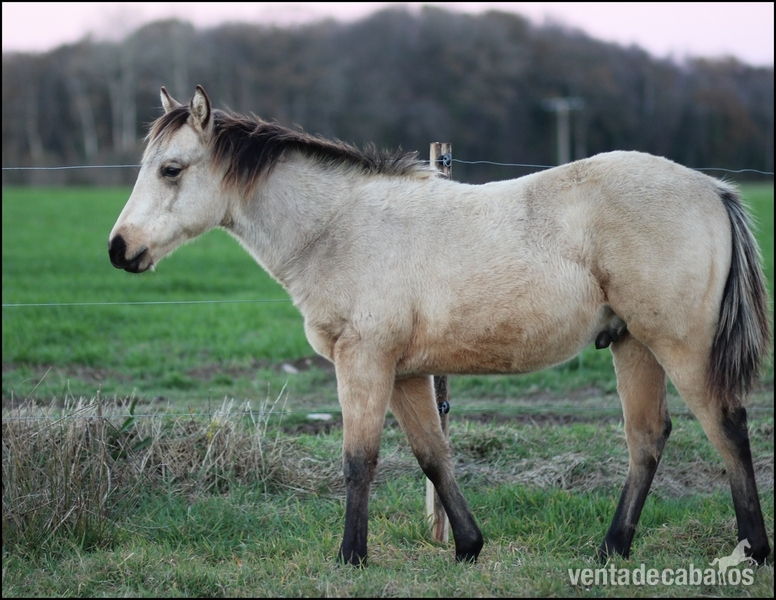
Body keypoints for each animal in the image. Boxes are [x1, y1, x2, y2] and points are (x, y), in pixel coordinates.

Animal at [109, 85, 771, 567]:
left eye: (171, 169)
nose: (120, 249)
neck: (337, 227)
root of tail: (710, 189)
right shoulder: (405, 374)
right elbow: (433, 455)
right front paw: (469, 546)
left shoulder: (364, 361)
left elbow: (359, 459)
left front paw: (350, 557)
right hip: (633, 344)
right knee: (647, 438)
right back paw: (612, 549)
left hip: (680, 347)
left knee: (726, 427)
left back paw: (752, 550)